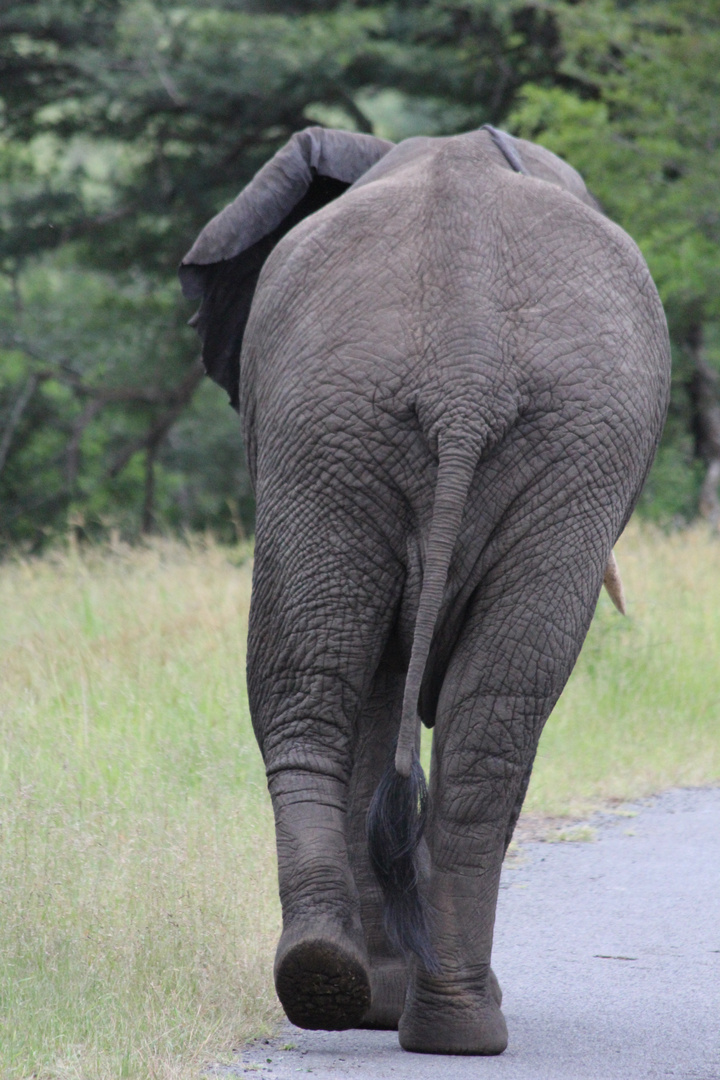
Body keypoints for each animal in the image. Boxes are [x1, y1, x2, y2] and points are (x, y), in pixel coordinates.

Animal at [179, 124, 669, 1054]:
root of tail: (465, 367)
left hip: (370, 427)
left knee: (372, 700)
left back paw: (372, 999)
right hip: (369, 424)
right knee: (412, 705)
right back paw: (416, 1012)